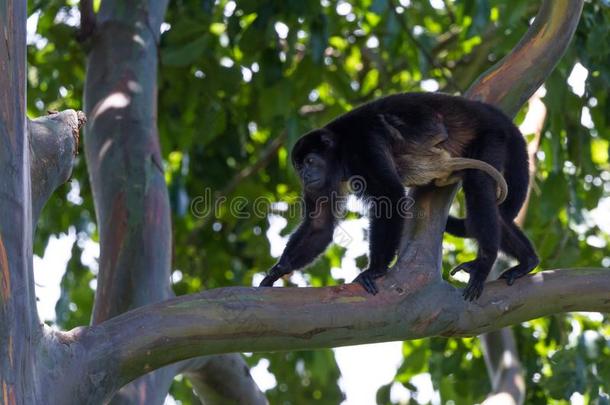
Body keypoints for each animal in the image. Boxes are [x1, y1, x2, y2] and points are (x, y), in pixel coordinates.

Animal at [258, 91, 536, 300]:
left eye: (310, 161)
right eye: (298, 165)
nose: (304, 176)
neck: (340, 148)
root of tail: (493, 114)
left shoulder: (364, 143)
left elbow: (390, 196)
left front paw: (375, 270)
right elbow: (320, 223)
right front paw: (279, 270)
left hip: (492, 135)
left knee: (479, 186)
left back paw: (484, 262)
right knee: (497, 211)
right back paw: (528, 262)